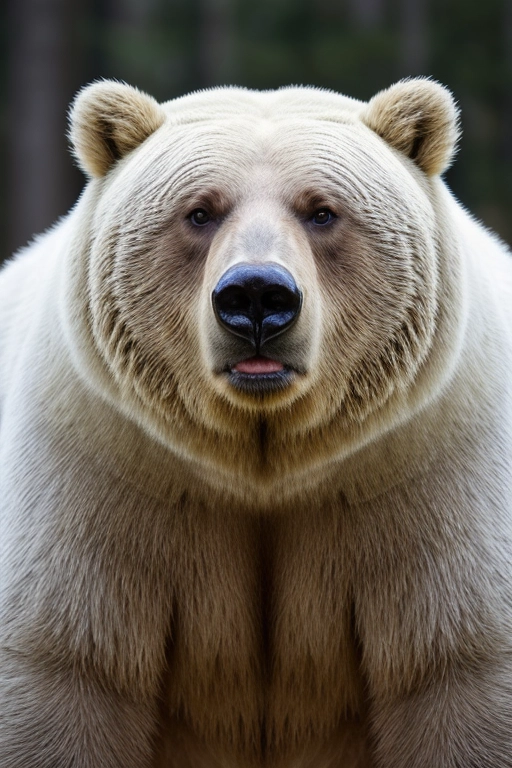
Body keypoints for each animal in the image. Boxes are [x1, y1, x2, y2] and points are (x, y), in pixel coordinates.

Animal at [0, 79, 510, 768]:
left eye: (322, 211)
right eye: (199, 211)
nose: (258, 297)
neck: (264, 453)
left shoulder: (423, 482)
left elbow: (453, 667)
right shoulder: (105, 480)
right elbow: (70, 666)